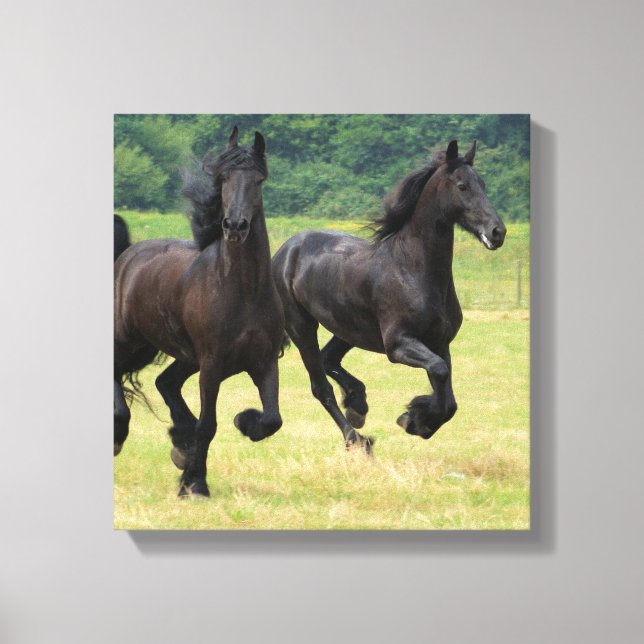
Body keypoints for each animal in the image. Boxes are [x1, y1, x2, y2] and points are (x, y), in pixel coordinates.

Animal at [114, 126, 284, 497]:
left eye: (258, 180)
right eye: (223, 178)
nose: (234, 226)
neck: (243, 292)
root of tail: (128, 255)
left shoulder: (264, 362)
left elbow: (272, 420)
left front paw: (244, 422)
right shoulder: (212, 364)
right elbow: (209, 425)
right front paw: (196, 485)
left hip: (179, 354)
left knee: (165, 382)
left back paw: (181, 443)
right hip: (129, 341)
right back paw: (121, 433)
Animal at [272, 140, 506, 452]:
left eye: (482, 183)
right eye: (462, 186)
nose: (497, 232)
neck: (413, 271)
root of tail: (285, 251)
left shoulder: (439, 343)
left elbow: (448, 397)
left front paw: (417, 420)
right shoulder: (398, 345)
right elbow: (440, 372)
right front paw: (414, 419)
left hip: (349, 329)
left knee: (328, 359)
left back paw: (358, 405)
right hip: (302, 328)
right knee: (320, 385)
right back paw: (357, 439)